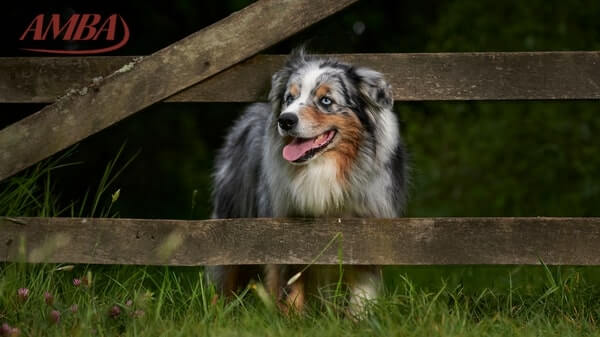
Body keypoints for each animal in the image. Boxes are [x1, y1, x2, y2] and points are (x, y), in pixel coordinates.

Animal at [206, 49, 408, 316]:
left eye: (326, 101)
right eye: (289, 98)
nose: (285, 120)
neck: (323, 168)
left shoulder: (367, 229)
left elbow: (362, 293)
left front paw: (358, 320)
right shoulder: (287, 232)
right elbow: (290, 289)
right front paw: (291, 320)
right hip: (232, 220)